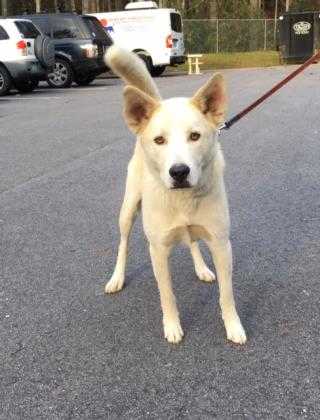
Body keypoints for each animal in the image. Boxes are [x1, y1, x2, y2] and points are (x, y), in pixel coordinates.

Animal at [104, 47, 246, 346]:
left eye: (195, 136)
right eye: (159, 140)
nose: (179, 171)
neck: (183, 200)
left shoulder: (221, 244)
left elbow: (227, 294)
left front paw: (233, 326)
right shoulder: (157, 251)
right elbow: (167, 295)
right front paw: (172, 326)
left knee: (191, 241)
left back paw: (202, 268)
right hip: (128, 210)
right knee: (123, 244)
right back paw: (117, 278)